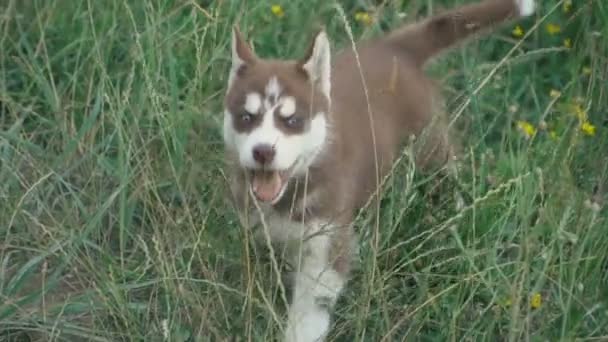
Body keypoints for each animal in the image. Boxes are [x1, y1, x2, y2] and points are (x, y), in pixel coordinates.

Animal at [221, 1, 536, 340]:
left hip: (429, 153)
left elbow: (310, 309)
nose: (263, 151)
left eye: (292, 121)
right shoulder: (257, 230)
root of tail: (394, 47)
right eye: (246, 117)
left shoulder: (327, 245)